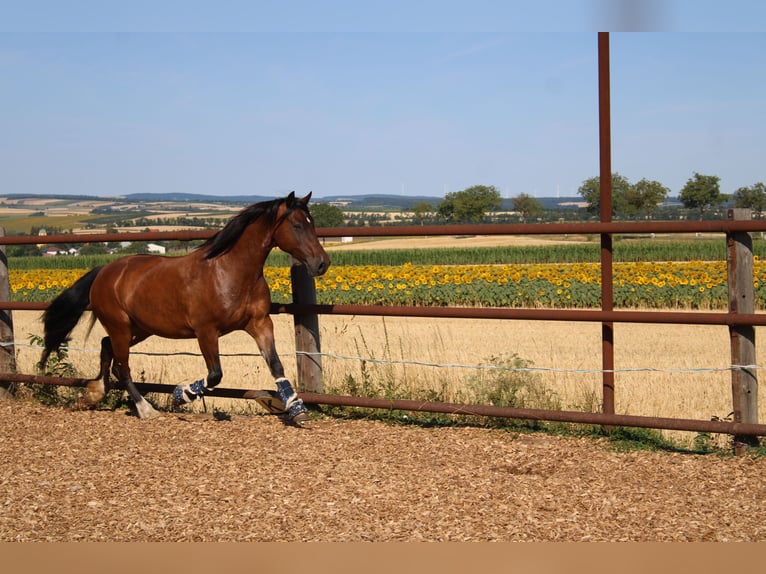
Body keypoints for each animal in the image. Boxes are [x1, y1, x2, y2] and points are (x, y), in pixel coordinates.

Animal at [39, 192, 330, 425]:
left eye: (313, 223)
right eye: (296, 225)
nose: (322, 263)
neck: (230, 272)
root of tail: (104, 271)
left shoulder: (259, 323)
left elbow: (276, 366)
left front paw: (298, 410)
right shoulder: (206, 331)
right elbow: (215, 375)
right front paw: (180, 395)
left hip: (140, 328)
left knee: (106, 346)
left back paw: (93, 394)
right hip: (120, 326)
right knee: (122, 366)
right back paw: (145, 410)